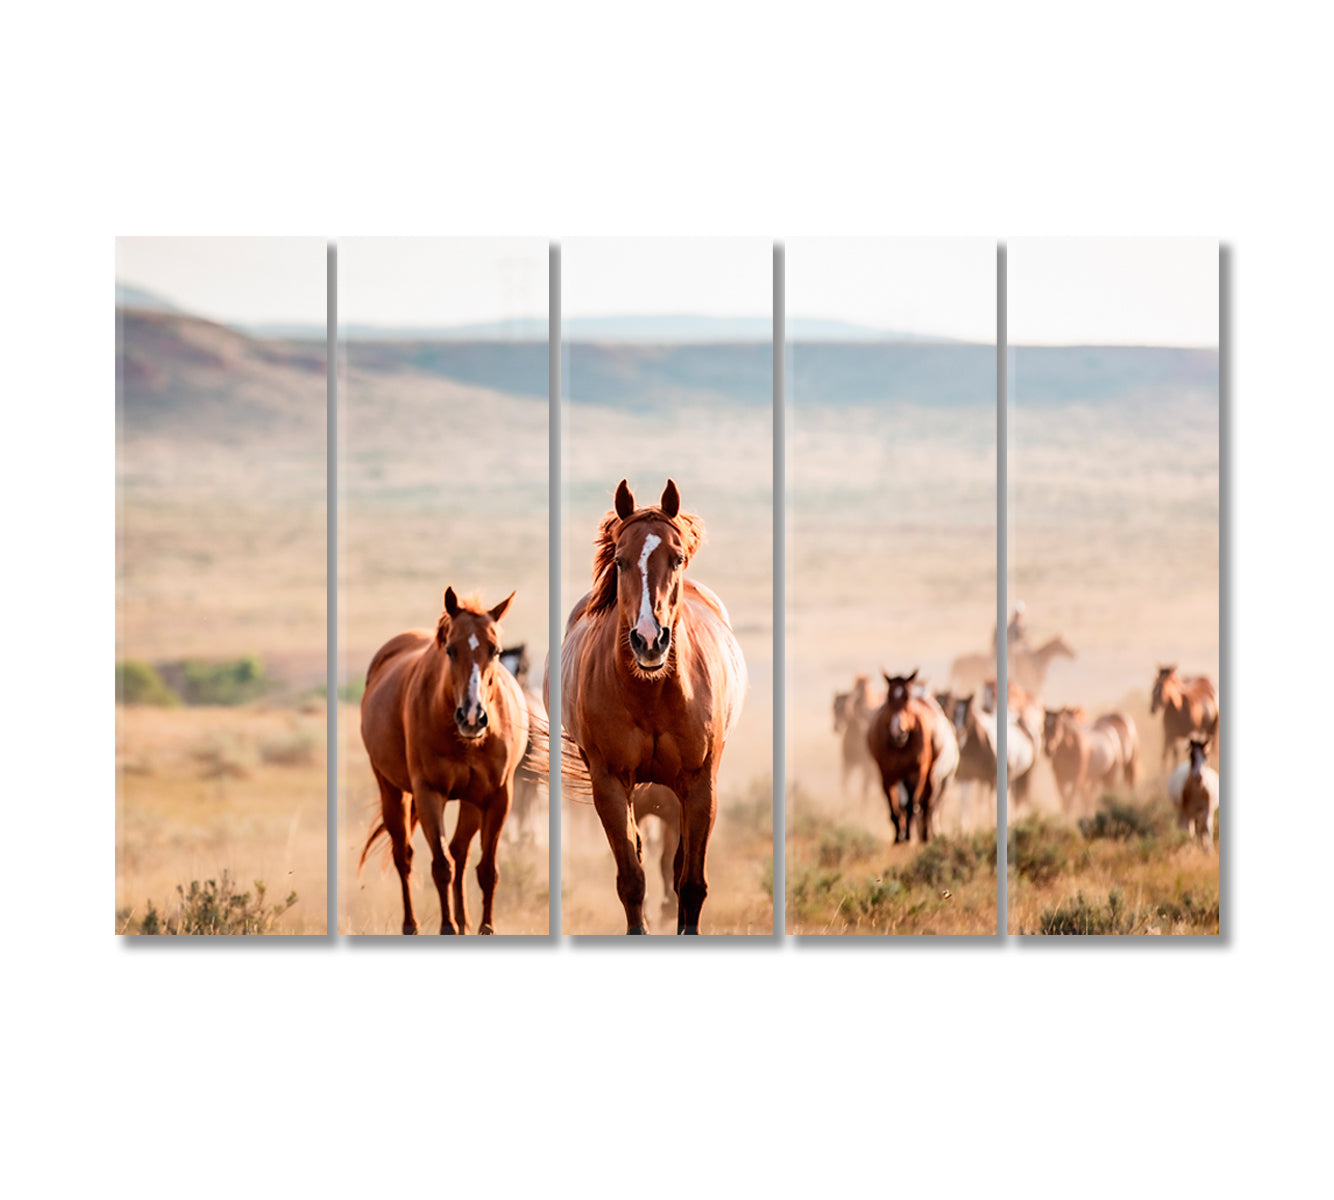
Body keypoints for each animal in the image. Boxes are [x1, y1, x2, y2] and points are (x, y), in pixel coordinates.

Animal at [365, 589, 536, 938]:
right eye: (450, 649)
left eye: (495, 650)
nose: (472, 717)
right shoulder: (429, 793)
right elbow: (441, 866)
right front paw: (446, 926)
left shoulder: (498, 797)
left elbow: (486, 869)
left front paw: (485, 927)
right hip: (391, 790)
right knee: (404, 856)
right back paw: (412, 925)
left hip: (471, 801)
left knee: (460, 851)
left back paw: (464, 921)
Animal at [546, 480, 747, 938]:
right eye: (620, 560)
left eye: (677, 558)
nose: (649, 640)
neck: (651, 695)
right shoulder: (609, 783)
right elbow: (632, 878)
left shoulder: (700, 783)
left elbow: (690, 881)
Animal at [864, 666, 960, 842]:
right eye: (888, 697)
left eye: (907, 698)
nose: (898, 732)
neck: (899, 745)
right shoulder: (887, 774)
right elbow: (893, 804)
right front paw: (898, 835)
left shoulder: (917, 772)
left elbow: (911, 804)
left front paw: (908, 835)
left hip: (936, 777)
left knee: (929, 805)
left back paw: (927, 834)